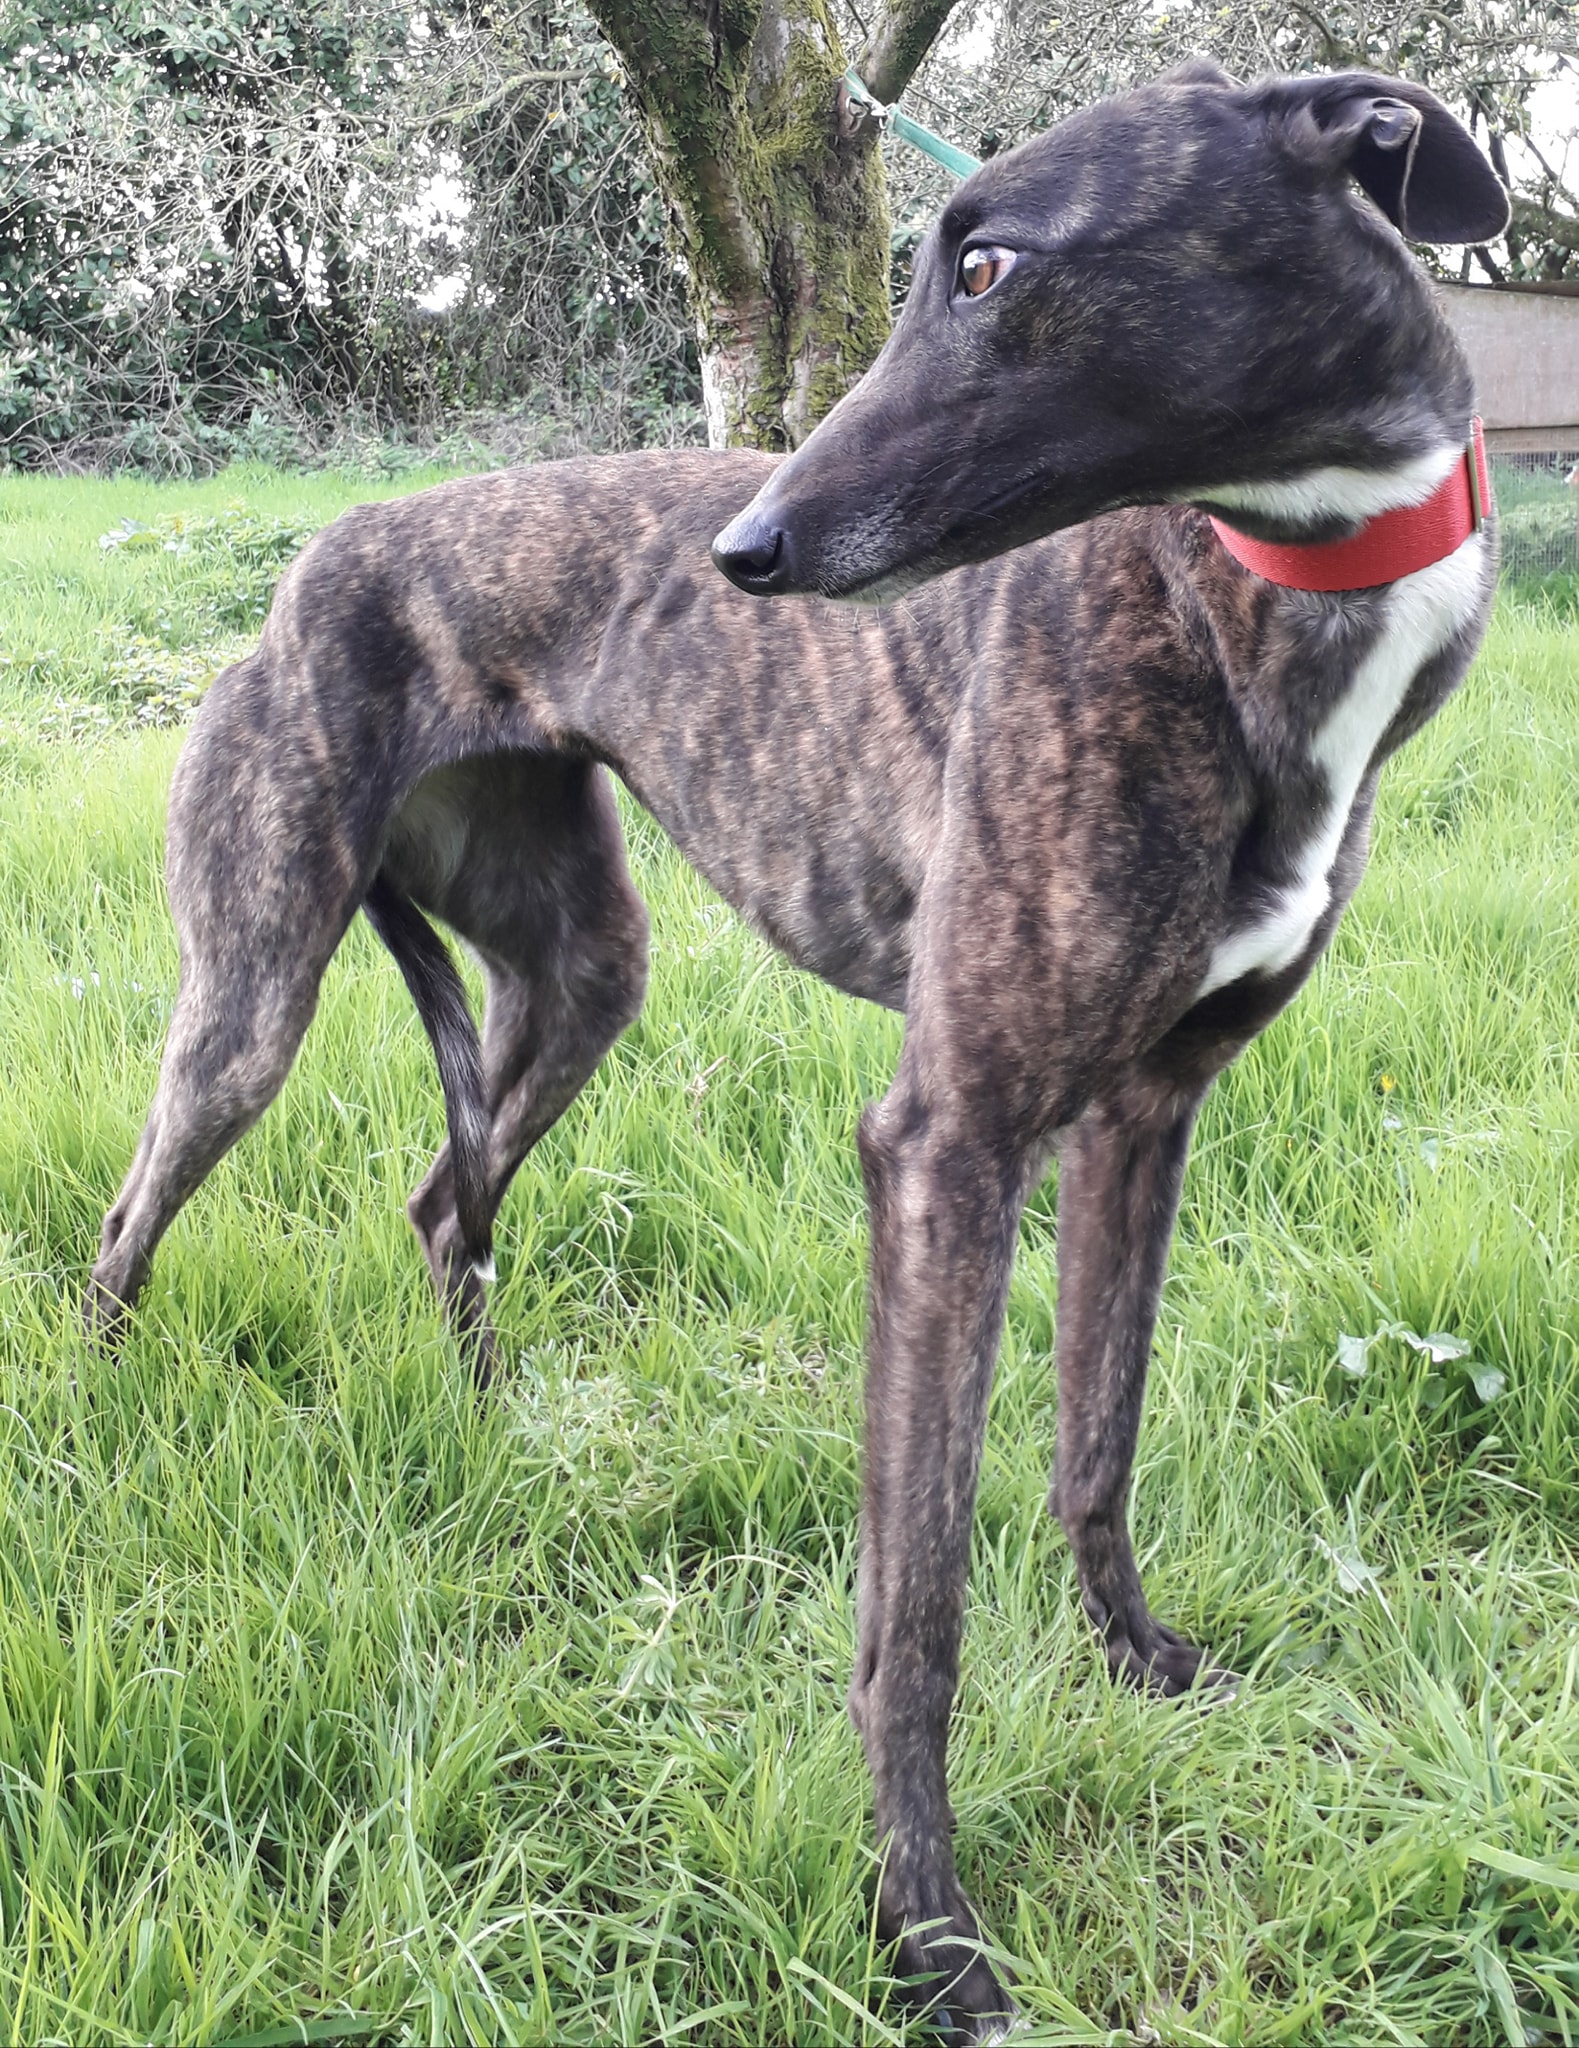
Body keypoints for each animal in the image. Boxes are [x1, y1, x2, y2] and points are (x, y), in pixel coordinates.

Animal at [87, 62, 1507, 2039]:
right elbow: (912, 1614)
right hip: (253, 990)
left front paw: (1136, 1660)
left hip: (578, 977)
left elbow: (1095, 1440)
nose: (739, 553)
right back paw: (101, 1402)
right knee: (133, 1209)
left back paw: (492, 1421)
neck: (1249, 588)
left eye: (986, 265)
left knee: (442, 1201)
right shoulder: (942, 1139)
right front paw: (928, 1937)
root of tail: (319, 560)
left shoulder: (1140, 1117)